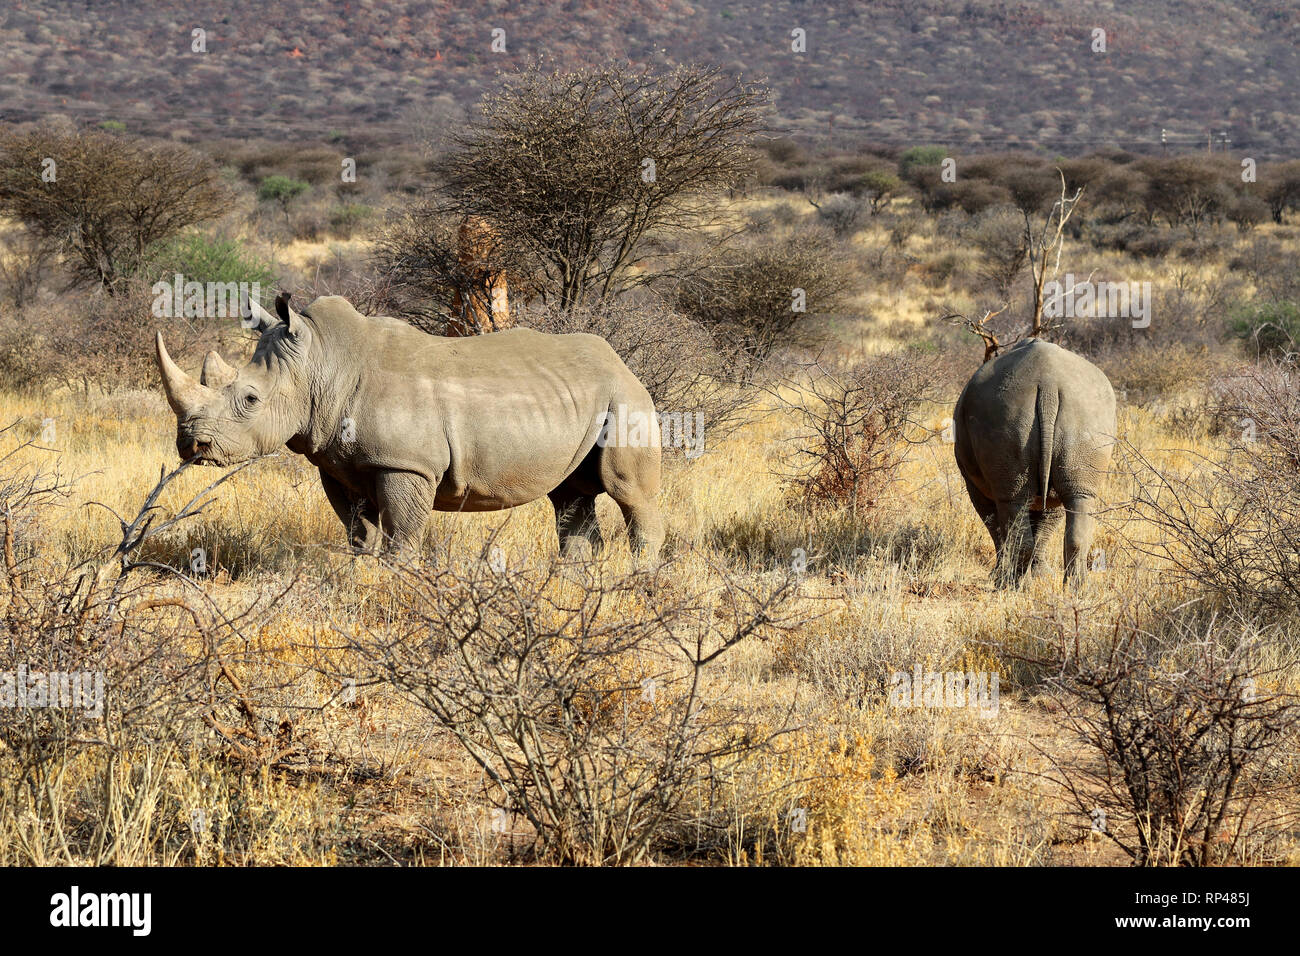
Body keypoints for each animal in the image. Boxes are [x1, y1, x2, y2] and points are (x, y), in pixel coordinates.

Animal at [154, 294, 664, 559]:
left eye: (250, 400)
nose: (191, 445)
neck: (321, 363)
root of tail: (623, 362)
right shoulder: (337, 463)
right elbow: (359, 532)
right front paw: (362, 575)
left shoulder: (406, 464)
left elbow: (402, 533)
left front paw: (400, 582)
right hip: (582, 398)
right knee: (570, 495)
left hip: (626, 399)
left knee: (627, 492)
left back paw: (638, 580)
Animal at [953, 338, 1116, 587]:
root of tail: (1048, 384)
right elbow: (1045, 521)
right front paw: (1042, 576)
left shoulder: (973, 483)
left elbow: (994, 524)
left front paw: (999, 576)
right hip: (1086, 416)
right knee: (1080, 496)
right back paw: (1077, 589)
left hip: (1004, 412)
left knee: (1012, 500)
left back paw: (1009, 585)